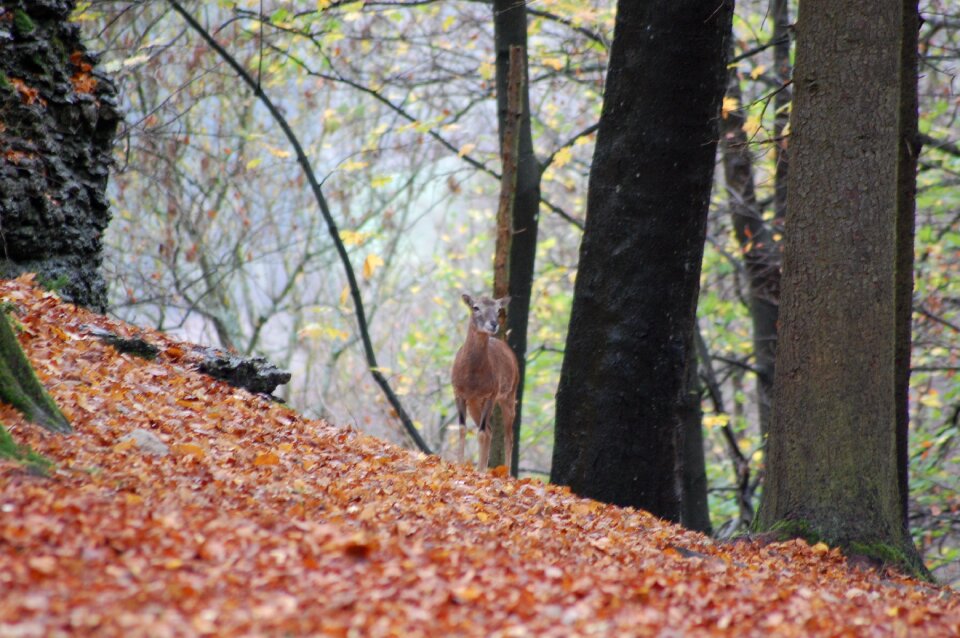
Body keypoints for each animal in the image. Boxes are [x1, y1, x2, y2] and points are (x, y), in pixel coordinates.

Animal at [450, 296, 516, 476]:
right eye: (476, 307)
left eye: (498, 309)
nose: (493, 324)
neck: (472, 380)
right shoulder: (458, 392)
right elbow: (463, 428)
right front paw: (460, 464)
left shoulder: (491, 394)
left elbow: (480, 433)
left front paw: (479, 471)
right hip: (475, 404)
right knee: (491, 430)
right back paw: (485, 467)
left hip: (510, 395)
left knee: (509, 435)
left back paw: (506, 473)